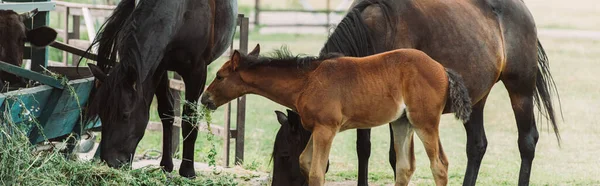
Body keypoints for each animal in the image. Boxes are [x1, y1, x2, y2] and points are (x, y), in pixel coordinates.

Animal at [83, 0, 238, 177]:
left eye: (125, 115)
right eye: (101, 115)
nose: (110, 162)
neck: (183, 14)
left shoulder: (197, 72)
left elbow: (189, 119)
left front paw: (187, 170)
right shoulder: (159, 66)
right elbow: (166, 112)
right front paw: (166, 165)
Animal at [203, 44, 474, 185]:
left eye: (220, 76)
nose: (205, 99)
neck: (307, 81)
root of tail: (442, 68)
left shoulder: (326, 129)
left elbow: (316, 171)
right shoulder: (316, 129)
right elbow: (307, 162)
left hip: (424, 122)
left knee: (439, 165)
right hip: (402, 123)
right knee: (405, 167)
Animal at [270, 0, 556, 185]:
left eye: (284, 155)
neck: (374, 32)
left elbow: (395, 158)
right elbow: (364, 149)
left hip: (520, 90)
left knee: (527, 141)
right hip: (477, 98)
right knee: (477, 146)